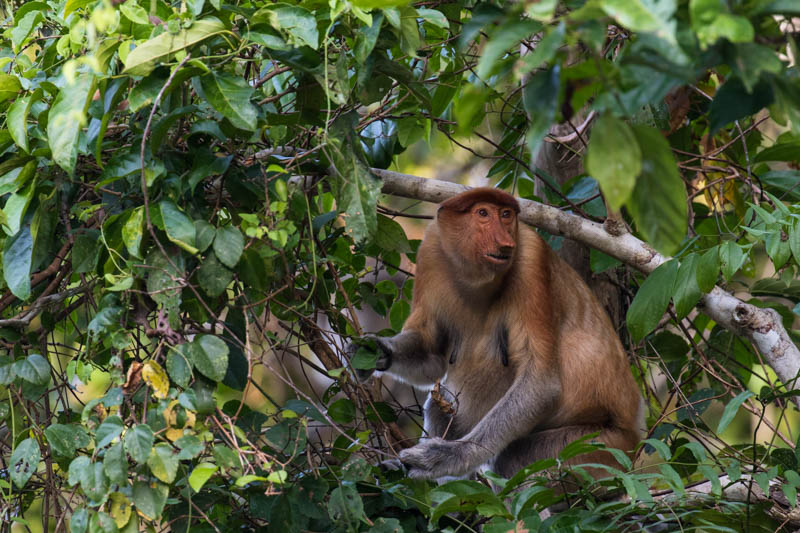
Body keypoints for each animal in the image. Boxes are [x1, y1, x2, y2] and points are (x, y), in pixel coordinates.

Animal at [354, 187, 640, 478]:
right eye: (483, 213)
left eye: (506, 215)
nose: (505, 243)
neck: (476, 281)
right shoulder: (431, 252)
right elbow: (432, 355)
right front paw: (374, 351)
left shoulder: (531, 259)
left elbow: (540, 382)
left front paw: (448, 456)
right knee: (439, 406)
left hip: (598, 446)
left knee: (513, 458)